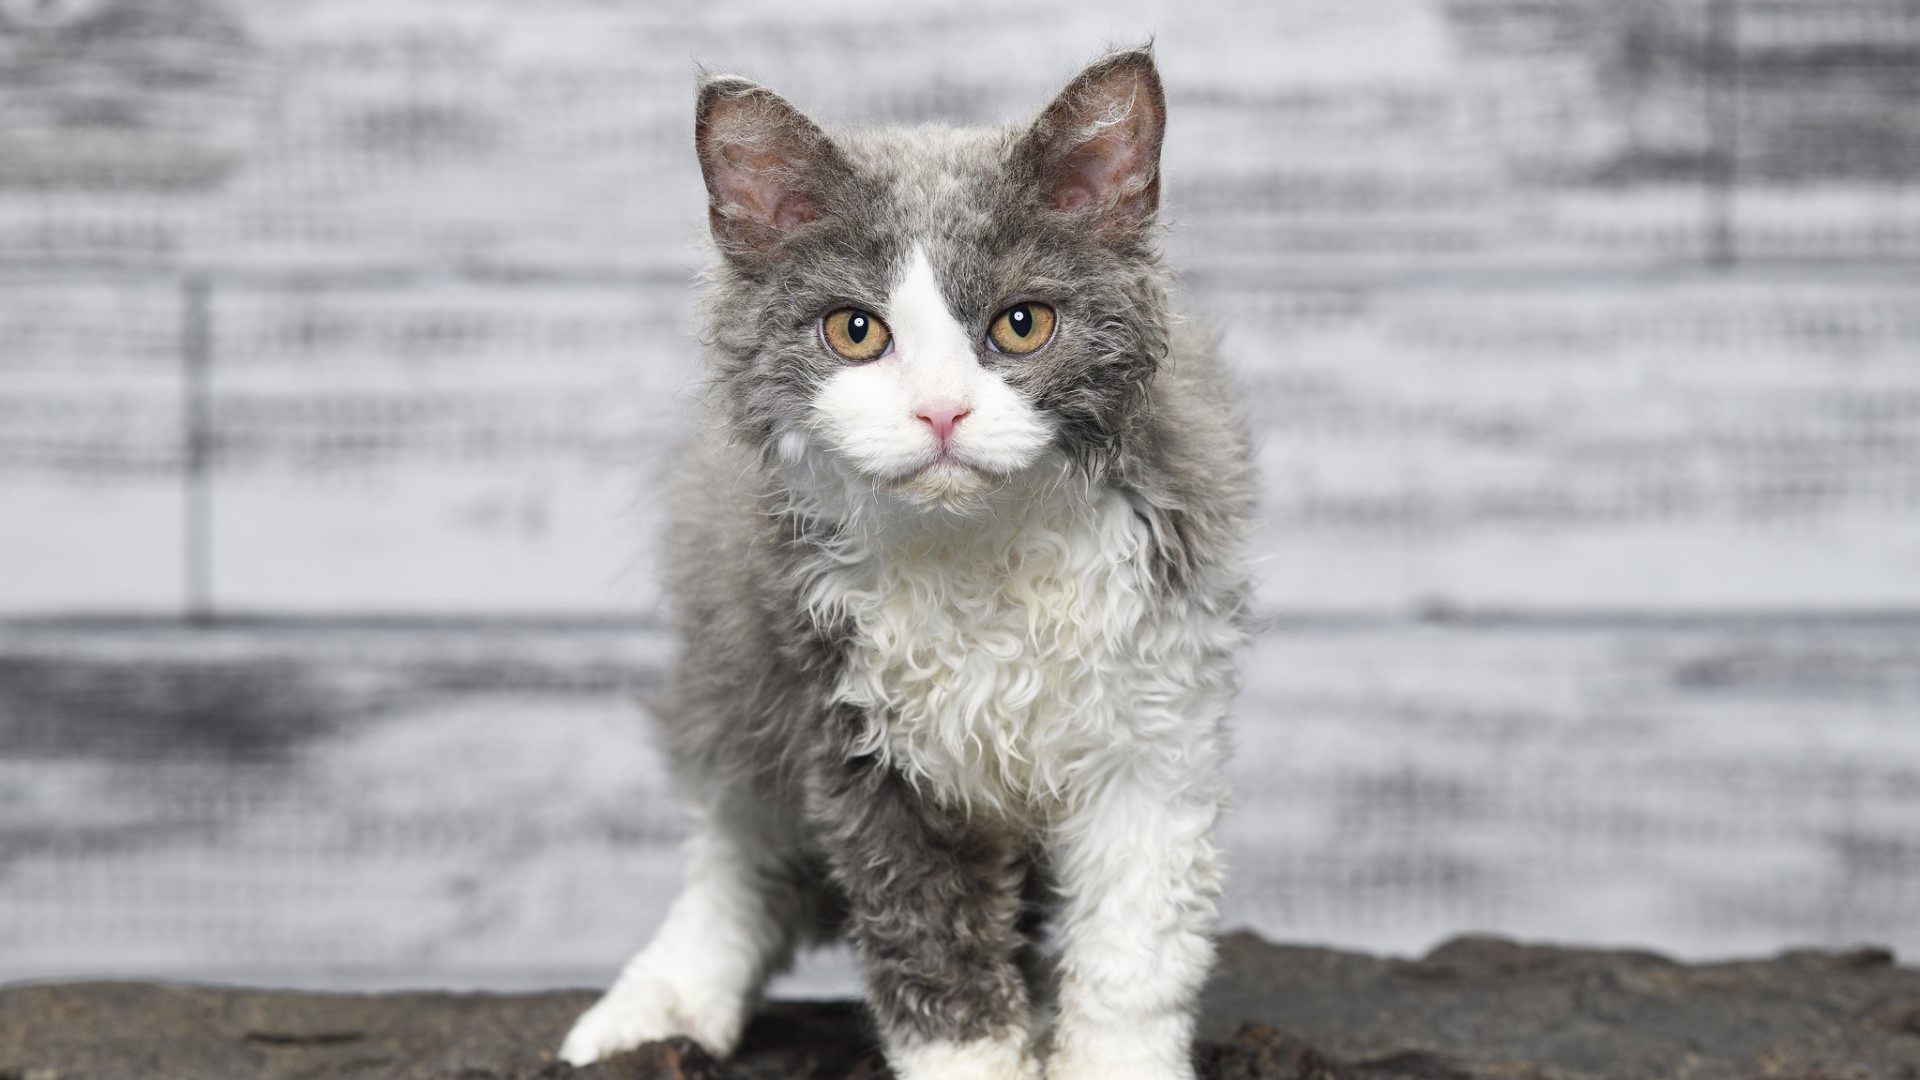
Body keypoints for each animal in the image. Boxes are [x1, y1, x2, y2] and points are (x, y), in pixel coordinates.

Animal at [552, 46, 1259, 1068]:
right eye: (856, 332)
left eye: (1021, 325)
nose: (940, 412)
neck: (982, 553)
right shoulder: (854, 734)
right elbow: (931, 950)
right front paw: (982, 1060)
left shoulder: (1158, 725)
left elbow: (1136, 954)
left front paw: (1106, 1058)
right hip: (733, 666)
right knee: (739, 848)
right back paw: (660, 1000)